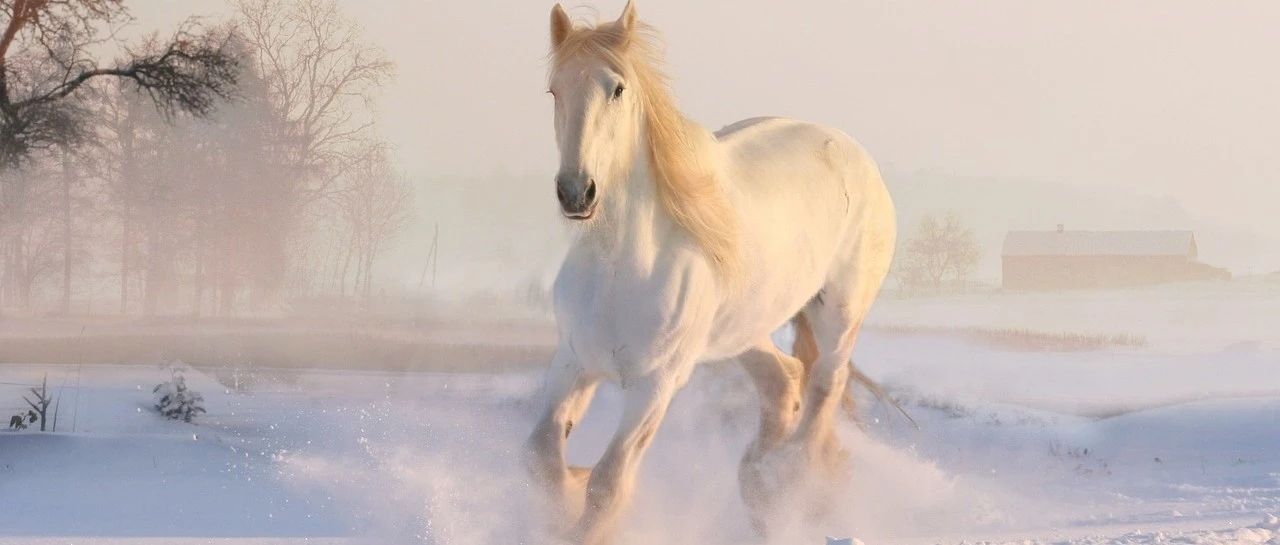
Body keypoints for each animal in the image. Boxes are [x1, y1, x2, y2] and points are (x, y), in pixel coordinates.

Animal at [524, 2, 896, 542]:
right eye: (555, 90)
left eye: (617, 88)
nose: (577, 192)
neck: (622, 269)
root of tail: (855, 153)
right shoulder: (574, 363)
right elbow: (541, 460)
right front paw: (564, 488)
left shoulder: (655, 385)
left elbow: (608, 484)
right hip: (743, 330)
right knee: (785, 381)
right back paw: (759, 486)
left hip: (839, 315)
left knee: (826, 385)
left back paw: (787, 480)